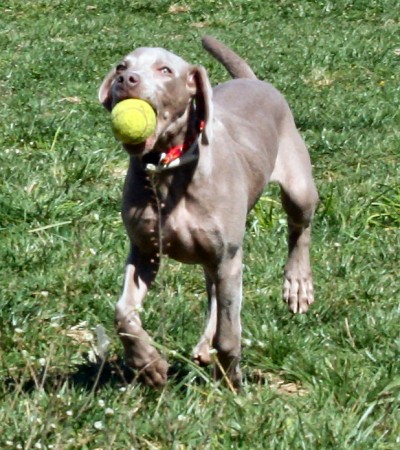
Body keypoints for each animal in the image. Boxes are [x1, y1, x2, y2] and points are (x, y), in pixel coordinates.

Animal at [97, 35, 318, 388]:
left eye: (165, 69)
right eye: (122, 65)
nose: (125, 79)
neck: (168, 169)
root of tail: (254, 81)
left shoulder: (228, 255)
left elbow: (229, 334)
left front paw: (230, 378)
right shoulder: (146, 251)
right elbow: (123, 314)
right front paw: (149, 364)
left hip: (298, 188)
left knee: (300, 230)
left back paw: (297, 285)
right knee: (213, 288)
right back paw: (202, 345)